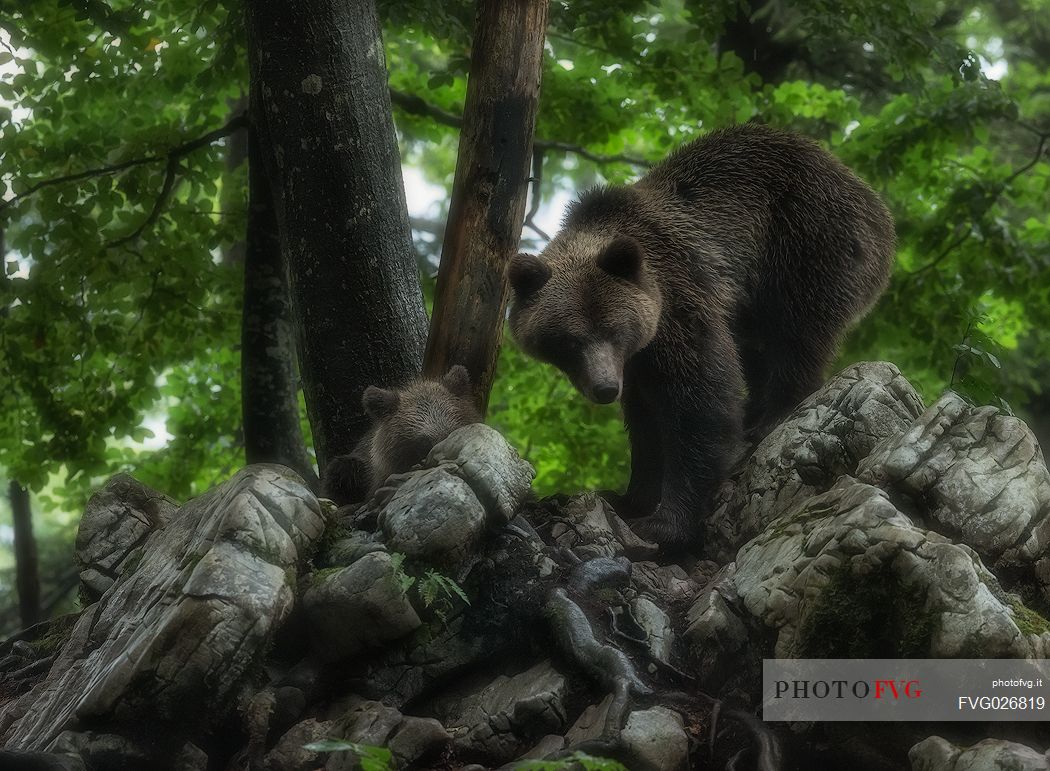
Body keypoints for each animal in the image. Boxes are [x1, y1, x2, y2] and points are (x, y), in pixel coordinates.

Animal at [508, 123, 894, 550]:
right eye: (570, 340)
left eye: (612, 330)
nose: (605, 388)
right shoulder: (638, 360)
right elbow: (645, 421)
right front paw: (629, 497)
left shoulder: (679, 301)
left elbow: (699, 399)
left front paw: (665, 524)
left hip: (804, 237)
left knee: (795, 333)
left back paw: (772, 415)